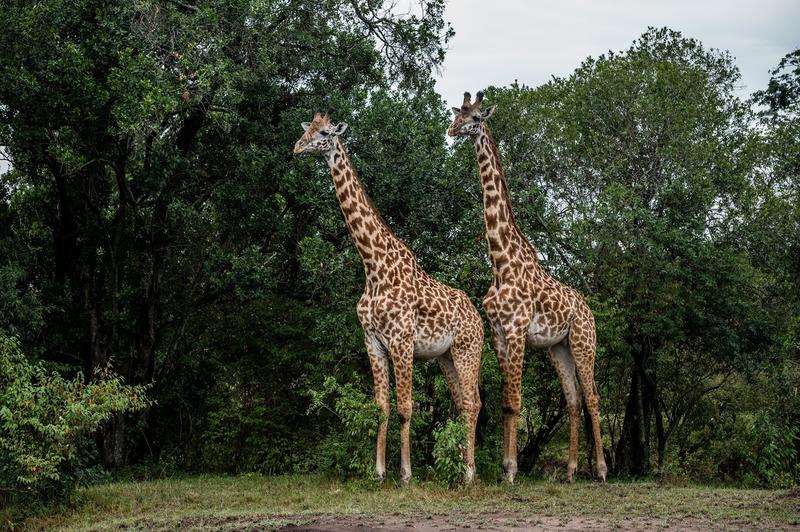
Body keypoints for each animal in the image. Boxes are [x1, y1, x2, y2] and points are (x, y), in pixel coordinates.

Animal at [294, 111, 484, 484]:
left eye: (323, 133)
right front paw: (379, 472)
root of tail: (479, 318)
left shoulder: (402, 340)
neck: (373, 265)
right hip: (446, 357)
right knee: (461, 403)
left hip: (468, 351)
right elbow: (381, 407)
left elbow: (406, 407)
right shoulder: (373, 341)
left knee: (473, 403)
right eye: (307, 129)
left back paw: (469, 473)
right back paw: (456, 468)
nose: (297, 148)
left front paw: (406, 474)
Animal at [448, 92, 607, 483]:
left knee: (593, 397)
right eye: (458, 113)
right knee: (574, 400)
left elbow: (516, 400)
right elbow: (506, 401)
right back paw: (570, 471)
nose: (453, 129)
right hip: (558, 349)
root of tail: (589, 310)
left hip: (584, 343)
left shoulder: (517, 330)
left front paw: (511, 471)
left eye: (476, 117)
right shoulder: (499, 334)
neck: (500, 262)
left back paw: (600, 470)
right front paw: (506, 467)